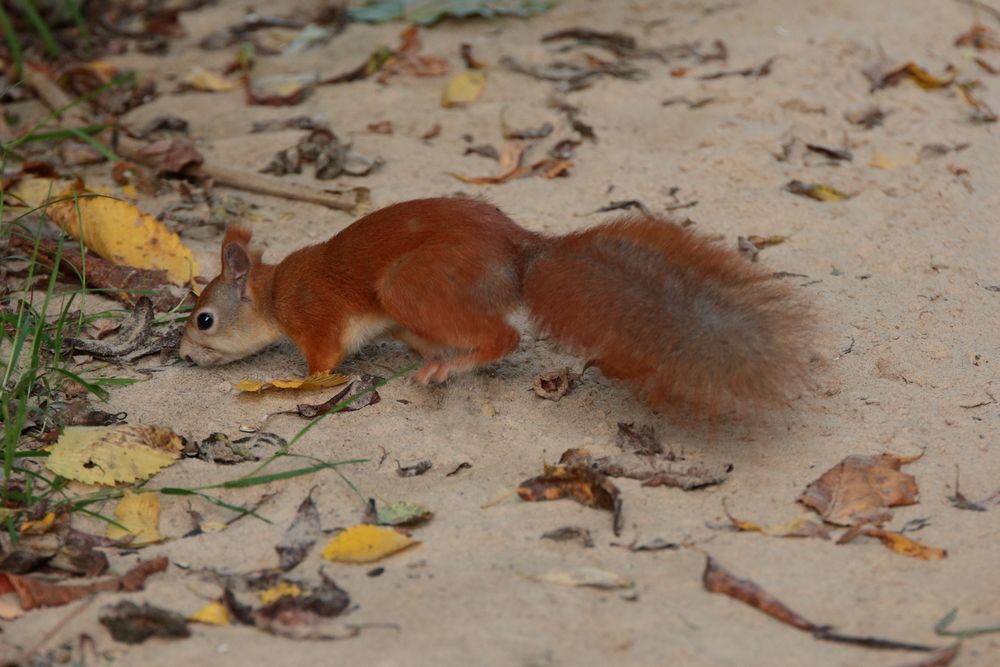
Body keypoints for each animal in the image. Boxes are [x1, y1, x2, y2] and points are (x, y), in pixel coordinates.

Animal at [179, 197, 815, 415]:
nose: (183, 356)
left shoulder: (317, 321)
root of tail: (518, 251)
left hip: (410, 284)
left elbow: (319, 368)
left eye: (203, 319)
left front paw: (280, 385)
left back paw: (453, 366)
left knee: (504, 337)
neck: (273, 294)